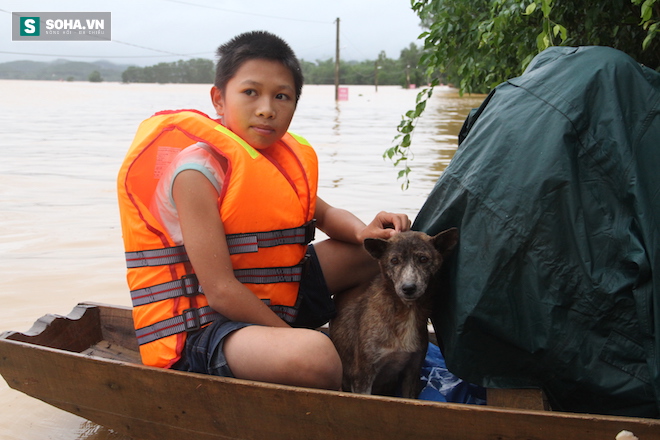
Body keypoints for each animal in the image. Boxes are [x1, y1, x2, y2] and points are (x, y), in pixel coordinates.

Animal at [330, 230, 458, 398]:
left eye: (423, 259)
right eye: (394, 260)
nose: (408, 288)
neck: (405, 311)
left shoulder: (412, 372)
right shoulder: (363, 376)